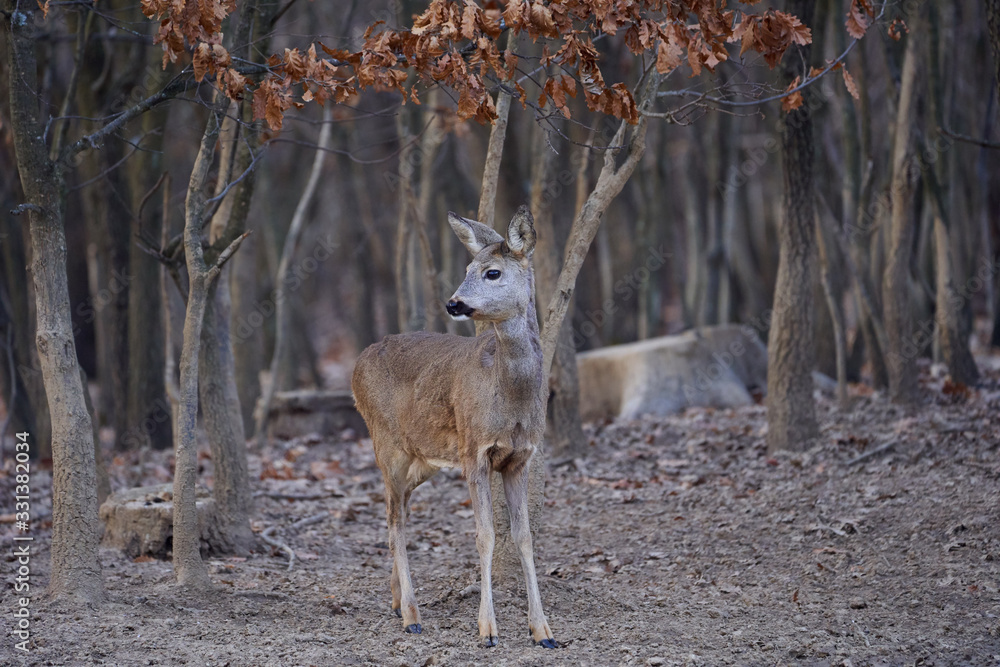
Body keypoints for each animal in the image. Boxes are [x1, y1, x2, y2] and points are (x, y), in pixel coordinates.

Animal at [351, 205, 557, 649]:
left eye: (492, 272)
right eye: (466, 268)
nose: (454, 303)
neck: (510, 397)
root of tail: (356, 365)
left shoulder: (521, 457)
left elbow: (524, 537)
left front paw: (543, 631)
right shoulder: (473, 449)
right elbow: (485, 535)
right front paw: (488, 629)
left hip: (423, 458)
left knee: (398, 510)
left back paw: (397, 600)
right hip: (386, 444)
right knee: (395, 521)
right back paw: (411, 615)